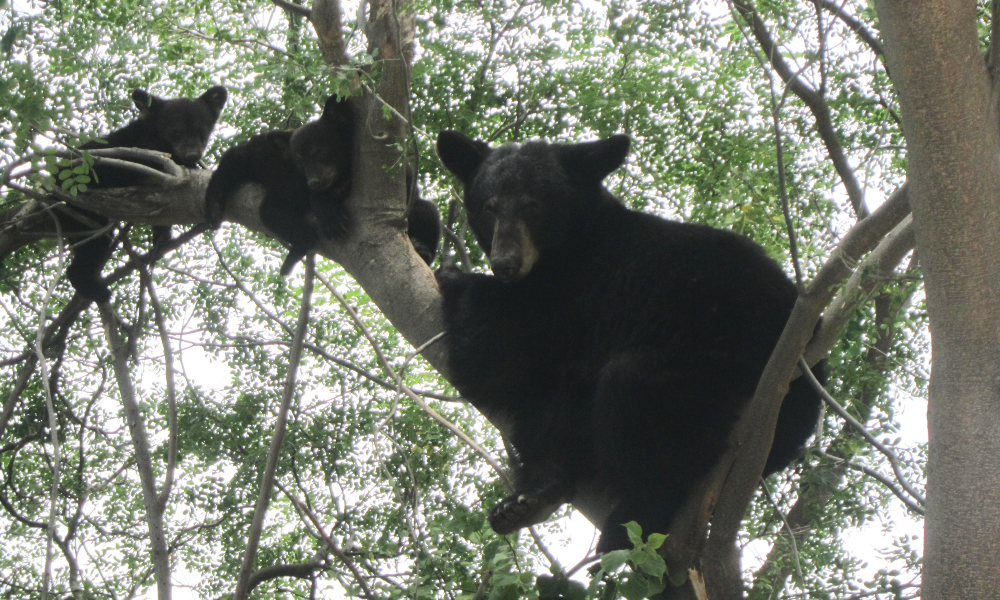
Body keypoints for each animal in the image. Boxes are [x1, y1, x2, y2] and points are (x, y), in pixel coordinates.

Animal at [67, 86, 228, 302]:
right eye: (175, 132)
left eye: (201, 131)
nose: (192, 155)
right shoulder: (147, 150)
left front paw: (162, 236)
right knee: (92, 247)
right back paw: (96, 290)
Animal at [436, 130, 820, 552]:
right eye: (488, 207)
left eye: (533, 205)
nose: (505, 263)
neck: (574, 243)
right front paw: (539, 484)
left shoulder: (582, 294)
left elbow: (501, 348)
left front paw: (455, 277)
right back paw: (529, 501)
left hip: (723, 374)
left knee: (636, 396)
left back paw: (630, 520)